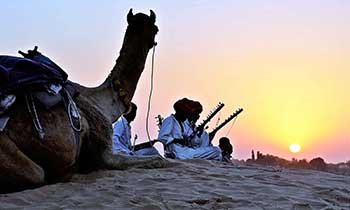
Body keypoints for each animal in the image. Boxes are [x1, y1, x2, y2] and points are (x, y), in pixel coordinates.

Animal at [0, 9, 166, 194]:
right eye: (156, 28)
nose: (154, 40)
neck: (103, 101)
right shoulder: (104, 152)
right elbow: (159, 160)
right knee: (37, 175)